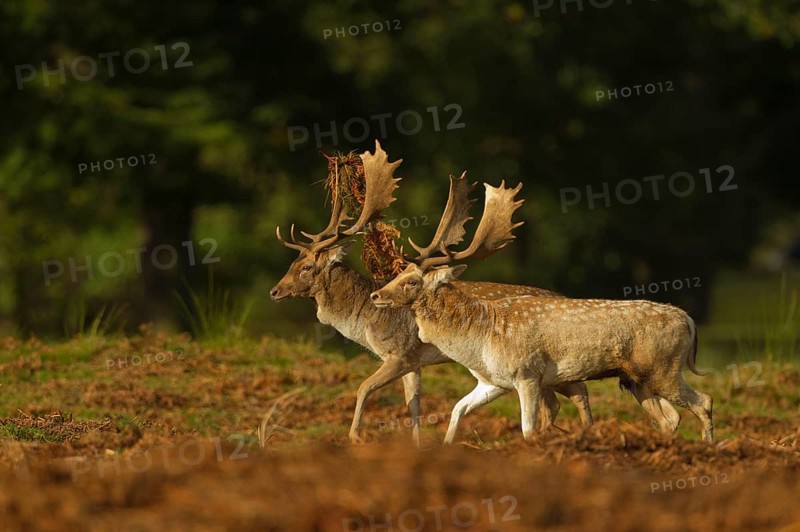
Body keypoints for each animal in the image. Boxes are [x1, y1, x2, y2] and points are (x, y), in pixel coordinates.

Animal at [269, 141, 594, 446]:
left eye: (306, 267)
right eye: (292, 262)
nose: (274, 291)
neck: (364, 320)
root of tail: (564, 297)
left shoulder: (400, 353)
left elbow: (363, 388)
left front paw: (355, 437)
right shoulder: (414, 362)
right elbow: (412, 405)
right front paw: (417, 445)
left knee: (577, 390)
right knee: (556, 401)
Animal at [369, 180, 714, 443]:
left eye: (411, 281)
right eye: (400, 273)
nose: (376, 295)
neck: (478, 340)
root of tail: (689, 321)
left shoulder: (527, 373)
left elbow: (527, 429)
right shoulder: (493, 382)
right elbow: (457, 409)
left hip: (663, 369)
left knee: (704, 402)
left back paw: (708, 449)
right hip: (636, 379)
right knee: (670, 417)